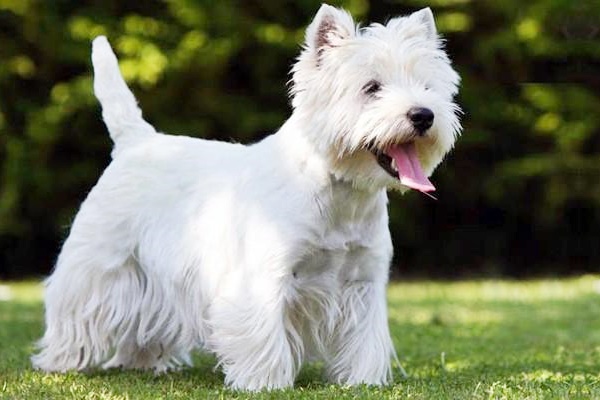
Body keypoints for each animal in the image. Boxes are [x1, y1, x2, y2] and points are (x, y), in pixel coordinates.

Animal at [31, 3, 460, 390]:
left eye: (426, 87)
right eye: (371, 87)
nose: (423, 115)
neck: (340, 193)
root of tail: (137, 141)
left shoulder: (364, 280)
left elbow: (364, 340)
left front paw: (362, 381)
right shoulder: (263, 277)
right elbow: (263, 333)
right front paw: (265, 383)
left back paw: (142, 363)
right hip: (99, 260)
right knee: (75, 308)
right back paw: (61, 362)